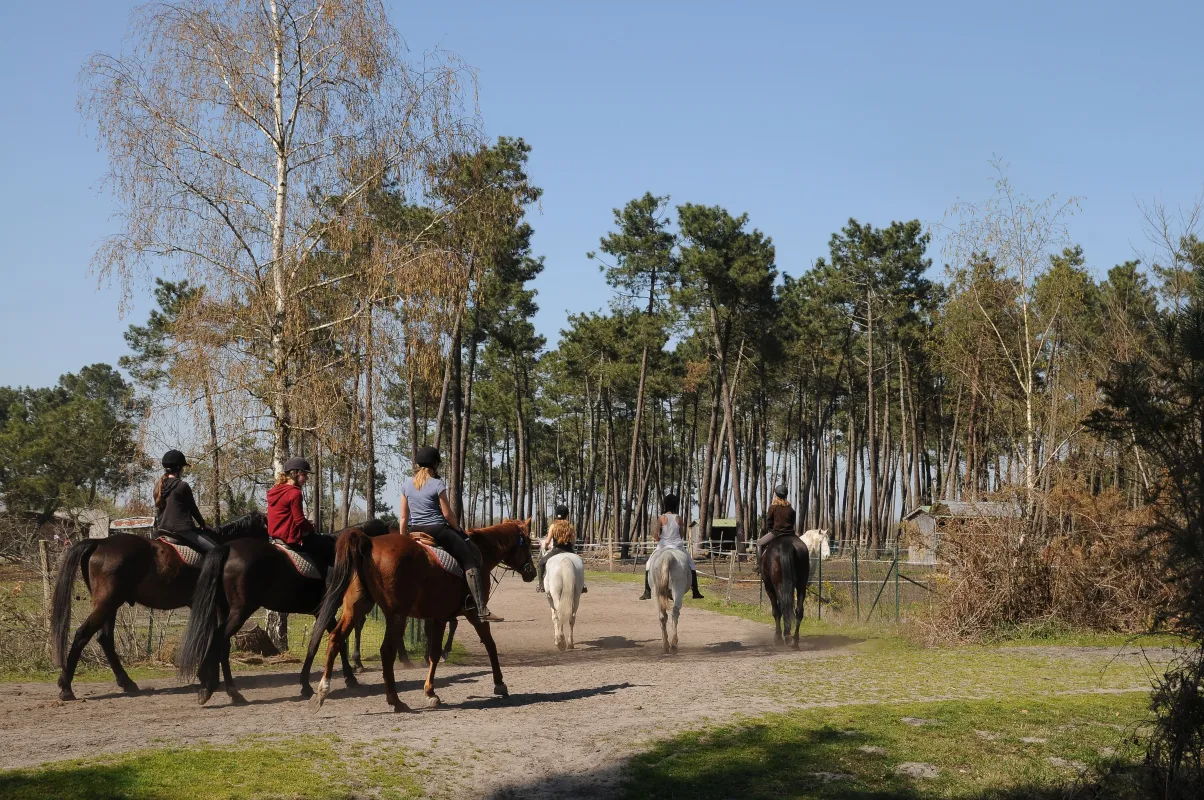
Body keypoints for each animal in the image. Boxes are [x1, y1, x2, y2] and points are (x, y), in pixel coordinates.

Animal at [51, 513, 266, 698]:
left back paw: (127, 683)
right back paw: (66, 687)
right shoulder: (218, 605)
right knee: (82, 635)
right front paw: (210, 677)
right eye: (265, 527)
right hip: (107, 602)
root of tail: (100, 542)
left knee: (104, 638)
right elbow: (215, 638)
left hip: (110, 605)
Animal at [305, 518, 536, 713]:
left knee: (335, 638)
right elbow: (489, 644)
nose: (532, 573)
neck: (480, 550)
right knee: (386, 651)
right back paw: (395, 701)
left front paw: (431, 692)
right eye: (526, 543)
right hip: (397, 615)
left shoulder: (439, 617)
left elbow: (434, 653)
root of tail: (369, 542)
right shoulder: (473, 612)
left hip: (356, 607)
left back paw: (322, 692)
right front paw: (500, 683)